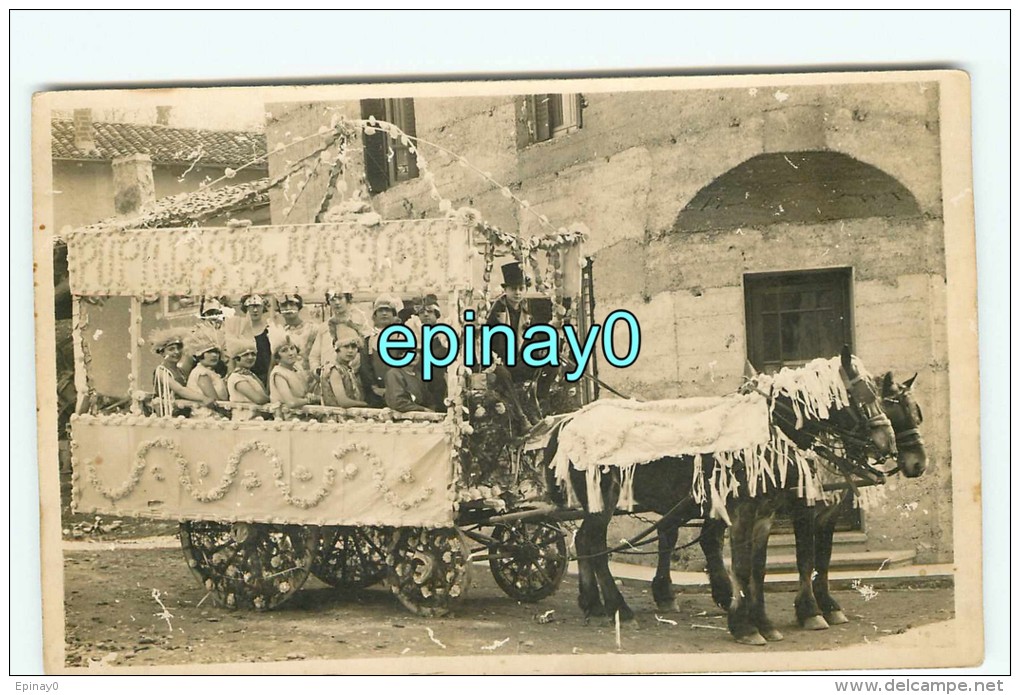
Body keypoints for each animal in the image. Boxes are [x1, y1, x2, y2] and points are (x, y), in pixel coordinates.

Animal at [546, 346, 905, 644]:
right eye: (862, 393)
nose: (887, 441)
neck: (767, 431)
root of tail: (571, 420)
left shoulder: (765, 514)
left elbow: (759, 569)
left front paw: (763, 622)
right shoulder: (746, 512)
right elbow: (746, 567)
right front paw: (745, 626)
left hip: (596, 503)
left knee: (584, 541)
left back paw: (594, 605)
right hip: (602, 500)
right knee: (595, 546)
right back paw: (619, 609)